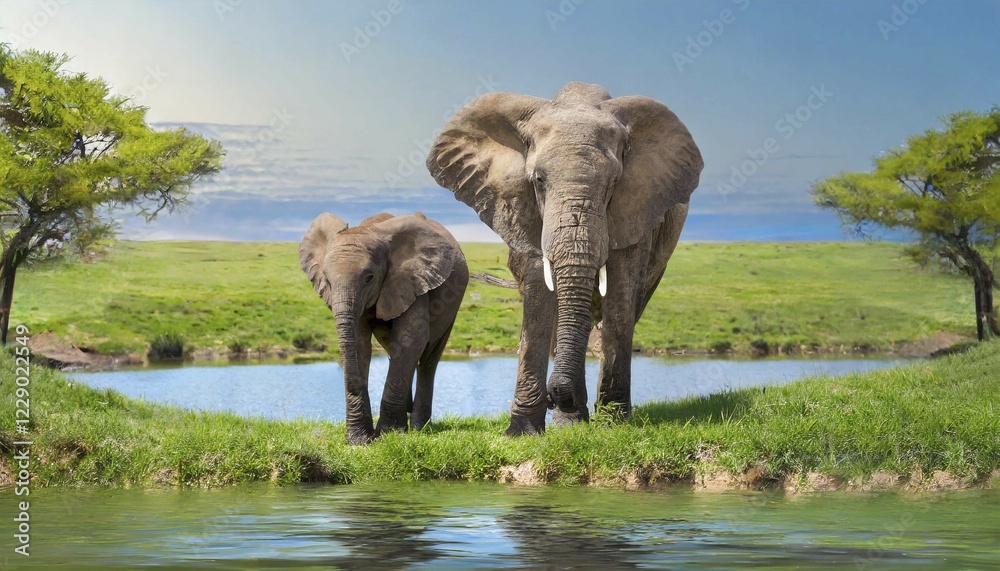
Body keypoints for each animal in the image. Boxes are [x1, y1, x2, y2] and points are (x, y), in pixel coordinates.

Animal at [299, 211, 469, 444]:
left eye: (369, 278)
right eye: (327, 281)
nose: (362, 439)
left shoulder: (412, 280)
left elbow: (411, 338)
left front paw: (389, 435)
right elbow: (360, 345)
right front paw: (360, 440)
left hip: (452, 307)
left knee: (428, 359)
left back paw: (419, 427)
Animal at [426, 82, 703, 435]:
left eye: (614, 183)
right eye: (538, 180)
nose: (555, 395)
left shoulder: (638, 205)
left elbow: (622, 291)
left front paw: (612, 425)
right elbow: (539, 290)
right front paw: (523, 432)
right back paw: (569, 422)